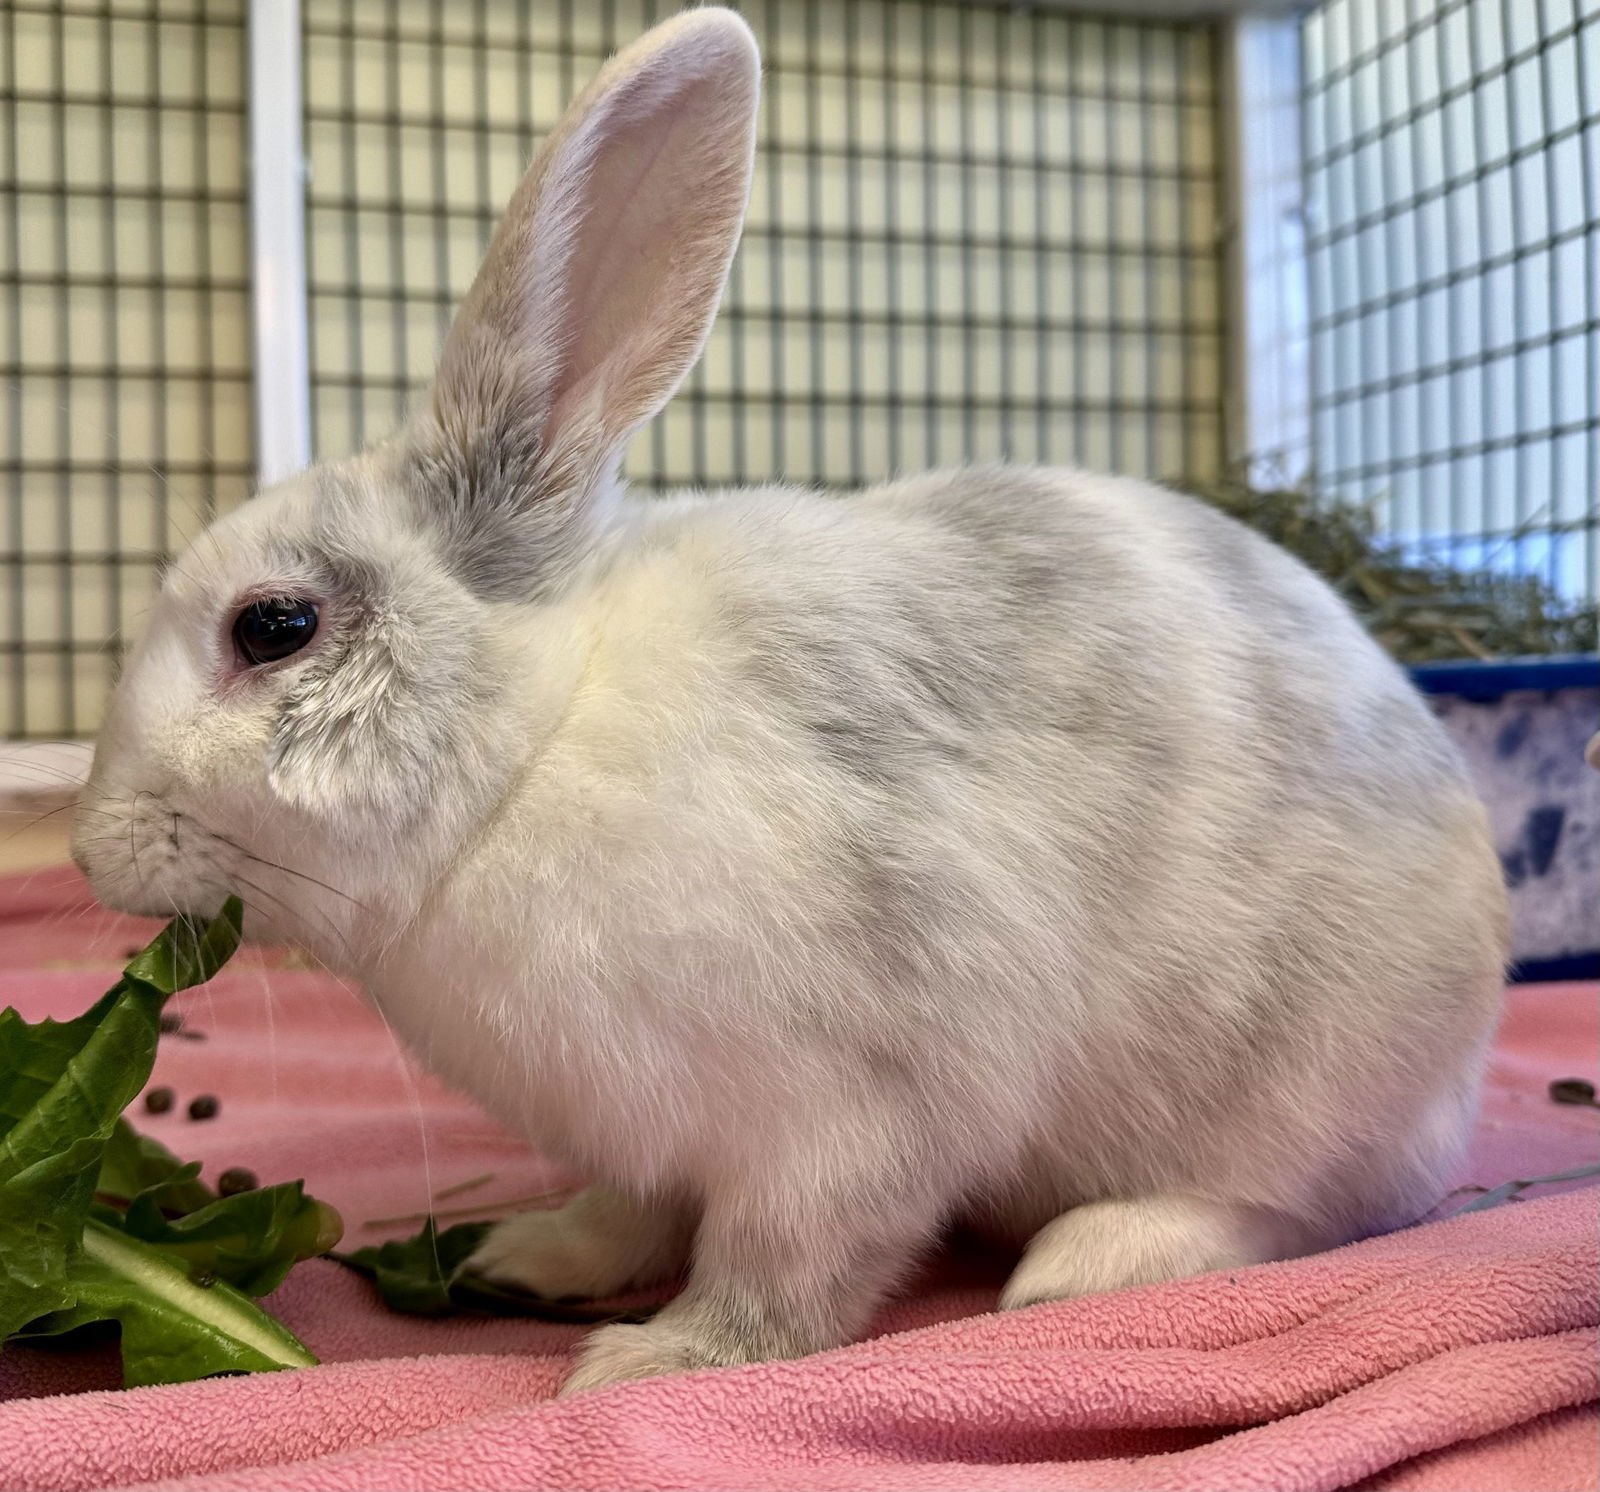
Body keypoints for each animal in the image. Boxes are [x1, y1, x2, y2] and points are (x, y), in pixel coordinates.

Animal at [71, 7, 1508, 1395]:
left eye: (273, 627)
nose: (90, 850)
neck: (529, 754)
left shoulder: (852, 1111)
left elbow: (784, 1267)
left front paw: (652, 1362)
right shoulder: (652, 1138)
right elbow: (633, 1213)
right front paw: (532, 1255)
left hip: (1309, 1083)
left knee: (1302, 1208)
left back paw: (1086, 1262)